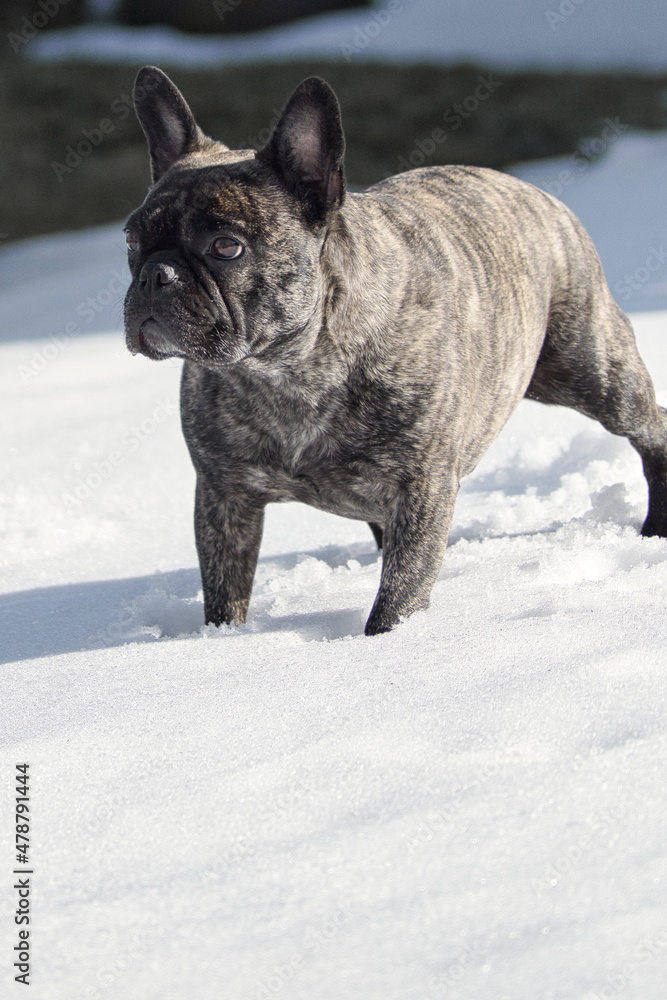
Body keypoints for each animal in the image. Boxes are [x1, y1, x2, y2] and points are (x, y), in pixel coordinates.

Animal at [124, 68, 667, 632]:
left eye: (226, 247)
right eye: (130, 242)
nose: (155, 274)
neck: (288, 371)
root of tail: (533, 190)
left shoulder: (422, 490)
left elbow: (401, 590)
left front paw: (387, 640)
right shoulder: (224, 497)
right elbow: (225, 594)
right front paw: (221, 642)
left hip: (592, 371)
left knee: (651, 427)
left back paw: (658, 523)